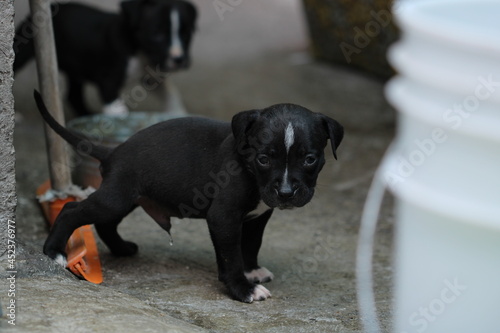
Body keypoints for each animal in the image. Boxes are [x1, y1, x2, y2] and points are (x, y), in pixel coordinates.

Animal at [13, 0, 197, 116]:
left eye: (187, 34)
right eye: (157, 35)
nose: (179, 59)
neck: (137, 49)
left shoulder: (150, 74)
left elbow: (170, 93)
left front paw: (178, 113)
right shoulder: (108, 83)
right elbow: (118, 113)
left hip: (76, 70)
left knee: (73, 96)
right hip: (22, 50)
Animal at [33, 90, 342, 300]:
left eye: (310, 159)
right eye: (264, 159)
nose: (287, 193)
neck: (247, 166)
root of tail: (114, 151)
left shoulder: (256, 217)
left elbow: (251, 244)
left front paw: (252, 270)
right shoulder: (223, 217)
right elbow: (231, 256)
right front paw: (243, 288)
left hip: (126, 198)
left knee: (105, 223)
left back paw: (121, 249)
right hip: (115, 198)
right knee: (72, 212)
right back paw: (55, 252)